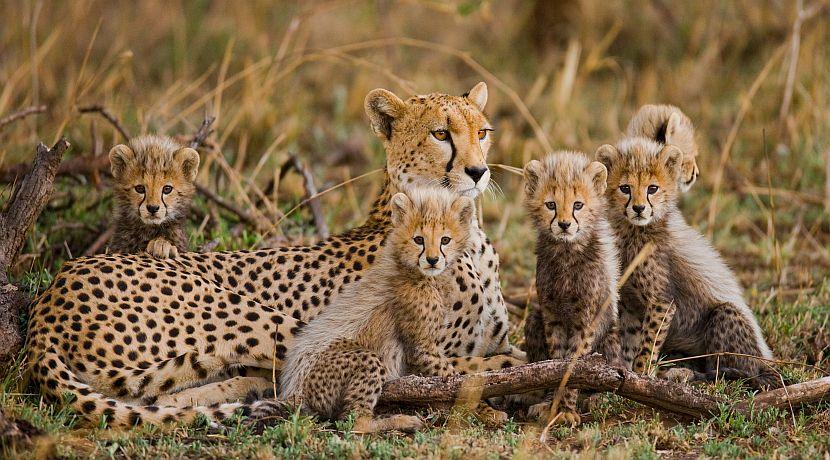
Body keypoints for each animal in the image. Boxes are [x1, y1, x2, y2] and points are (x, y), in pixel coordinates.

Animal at [275, 188, 475, 433]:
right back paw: (399, 421)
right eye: (419, 239)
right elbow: (454, 377)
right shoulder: (422, 347)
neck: (414, 272)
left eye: (445, 240)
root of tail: (293, 391)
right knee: (354, 422)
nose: (432, 259)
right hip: (364, 359)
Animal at [521, 151, 621, 426]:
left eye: (578, 205)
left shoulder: (585, 320)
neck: (567, 252)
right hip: (533, 320)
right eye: (550, 205)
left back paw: (598, 398)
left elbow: (574, 365)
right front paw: (552, 405)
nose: (564, 225)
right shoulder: (551, 315)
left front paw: (565, 409)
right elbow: (554, 362)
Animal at [596, 137, 778, 389]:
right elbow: (631, 341)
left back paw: (688, 374)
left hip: (726, 317)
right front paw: (626, 371)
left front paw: (641, 376)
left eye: (652, 188)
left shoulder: (662, 302)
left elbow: (647, 345)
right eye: (625, 188)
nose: (639, 208)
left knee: (733, 371)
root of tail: (767, 361)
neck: (633, 232)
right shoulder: (630, 303)